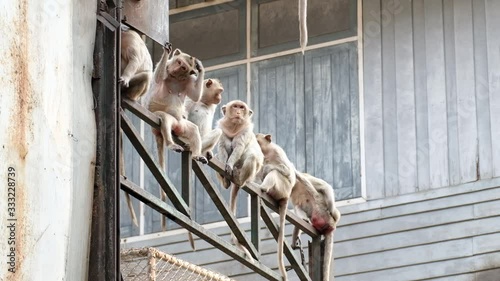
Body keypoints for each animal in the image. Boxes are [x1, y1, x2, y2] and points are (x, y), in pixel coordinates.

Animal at [144, 42, 208, 237]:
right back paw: (172, 144)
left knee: (193, 129)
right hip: (163, 118)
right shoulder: (165, 72)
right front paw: (166, 51)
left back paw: (197, 154)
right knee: (165, 119)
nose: (177, 67)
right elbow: (158, 78)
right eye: (178, 61)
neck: (176, 77)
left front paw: (200, 68)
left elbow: (194, 95)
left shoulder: (187, 81)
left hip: (181, 125)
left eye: (184, 67)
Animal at [214, 99, 264, 260]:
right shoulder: (222, 129)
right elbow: (222, 148)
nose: (238, 112)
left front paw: (229, 165)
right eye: (235, 106)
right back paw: (226, 182)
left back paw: (239, 179)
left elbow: (239, 147)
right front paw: (225, 168)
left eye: (242, 107)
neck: (234, 128)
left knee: (252, 157)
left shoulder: (245, 131)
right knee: (217, 155)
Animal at [246, 133, 296, 280]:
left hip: (282, 188)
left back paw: (262, 187)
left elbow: (286, 170)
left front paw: (267, 168)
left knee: (275, 173)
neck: (266, 153)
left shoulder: (277, 152)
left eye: (257, 140)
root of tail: (286, 196)